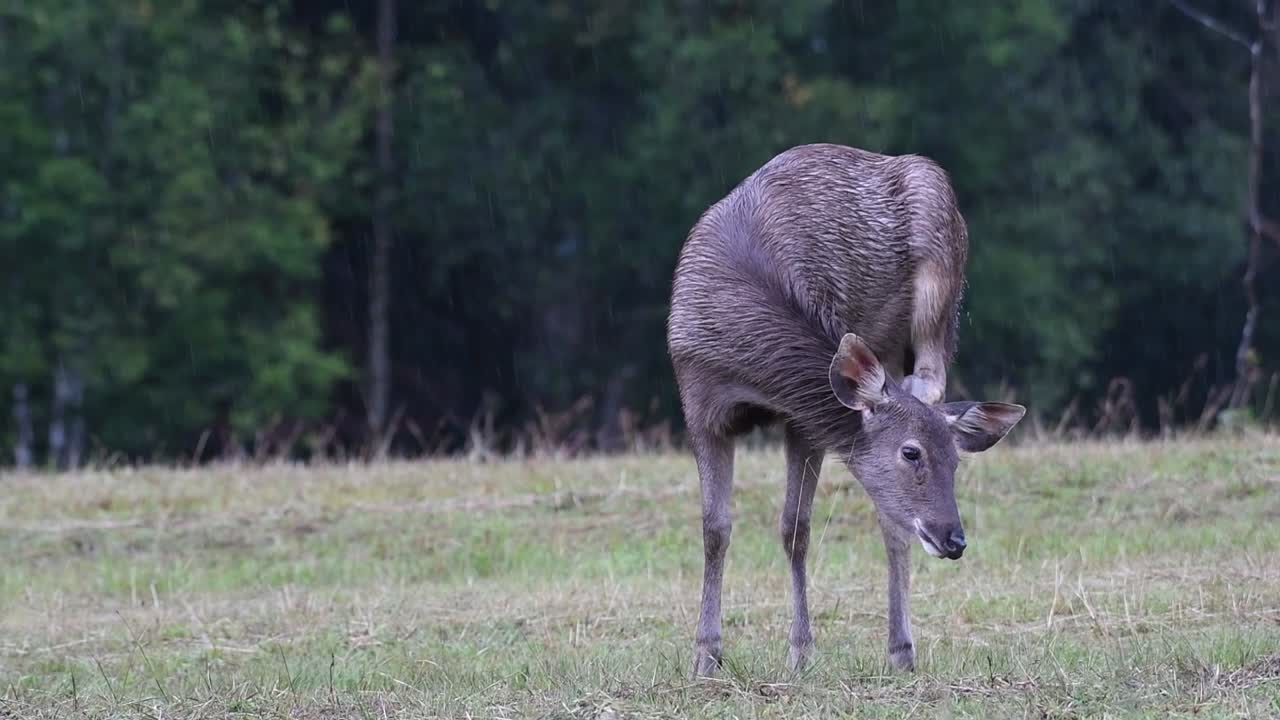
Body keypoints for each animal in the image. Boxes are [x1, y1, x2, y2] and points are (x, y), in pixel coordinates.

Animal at [666, 143, 1026, 677]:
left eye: (957, 461)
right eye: (911, 452)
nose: (955, 539)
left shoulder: (801, 418)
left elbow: (795, 528)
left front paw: (800, 652)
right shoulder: (700, 401)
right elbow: (715, 529)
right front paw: (706, 657)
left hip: (940, 293)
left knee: (923, 405)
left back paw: (902, 649)